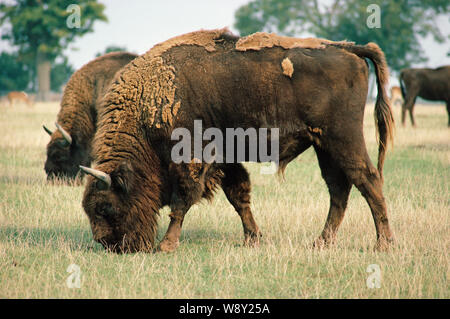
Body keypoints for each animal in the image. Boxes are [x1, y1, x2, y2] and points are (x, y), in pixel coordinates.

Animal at [80, 30, 394, 255]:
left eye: (104, 207)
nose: (109, 245)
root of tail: (347, 48)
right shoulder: (225, 158)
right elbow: (238, 195)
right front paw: (253, 239)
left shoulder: (191, 159)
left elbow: (183, 200)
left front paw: (166, 246)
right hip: (324, 146)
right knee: (339, 189)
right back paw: (321, 243)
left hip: (343, 138)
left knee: (367, 180)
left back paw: (383, 244)